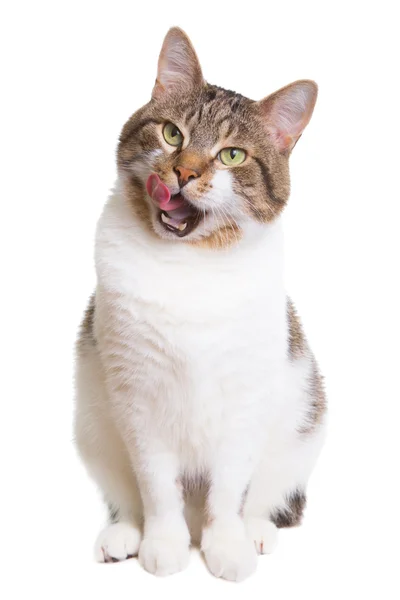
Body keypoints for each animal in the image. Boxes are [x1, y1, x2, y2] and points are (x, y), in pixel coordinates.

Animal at [73, 24, 326, 580]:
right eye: (172, 134)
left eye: (233, 155)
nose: (183, 173)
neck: (188, 265)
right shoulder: (137, 397)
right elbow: (155, 486)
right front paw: (162, 544)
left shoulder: (246, 399)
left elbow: (230, 490)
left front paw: (227, 545)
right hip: (92, 426)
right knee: (125, 495)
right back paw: (125, 534)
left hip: (303, 423)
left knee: (266, 494)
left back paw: (256, 531)